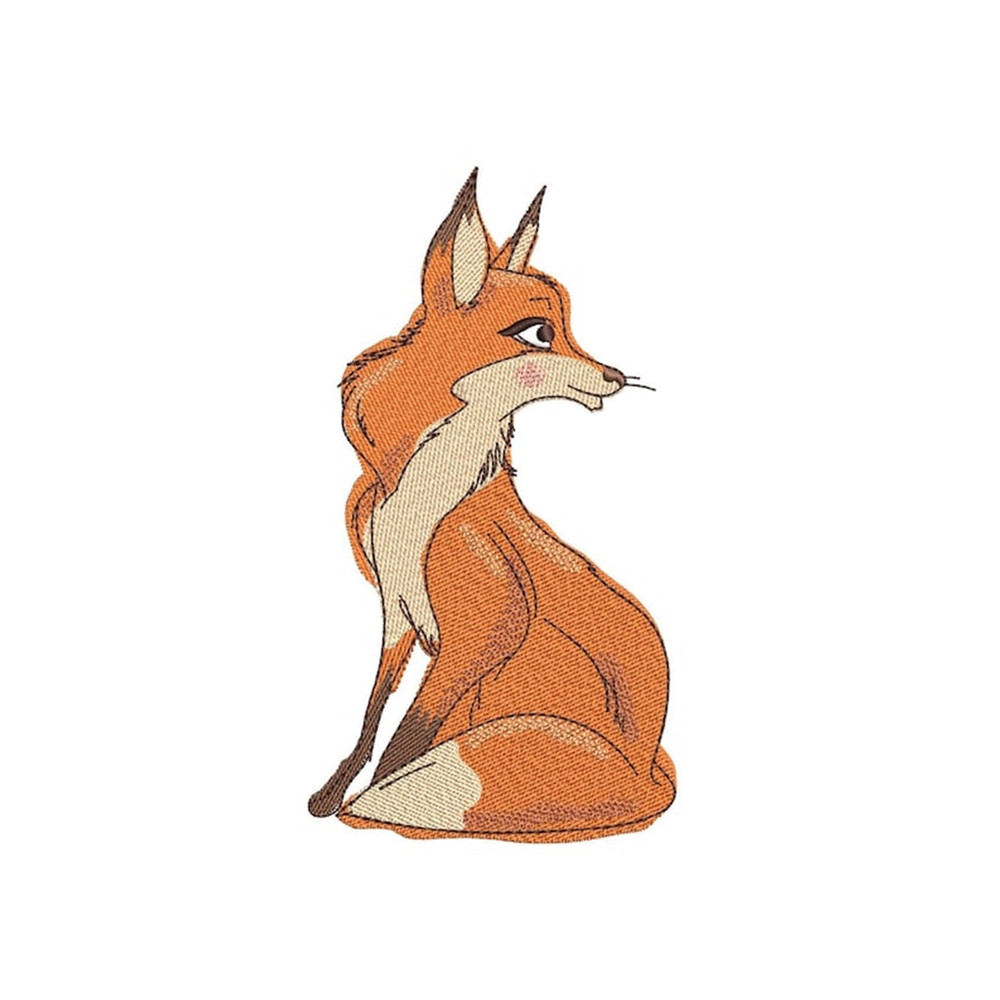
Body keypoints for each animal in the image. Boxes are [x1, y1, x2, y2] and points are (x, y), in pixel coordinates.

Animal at [307, 170, 675, 841]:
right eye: (539, 333)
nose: (615, 376)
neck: (426, 489)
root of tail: (650, 774)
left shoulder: (486, 621)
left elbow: (405, 741)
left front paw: (358, 804)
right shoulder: (398, 610)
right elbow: (375, 717)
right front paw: (329, 793)